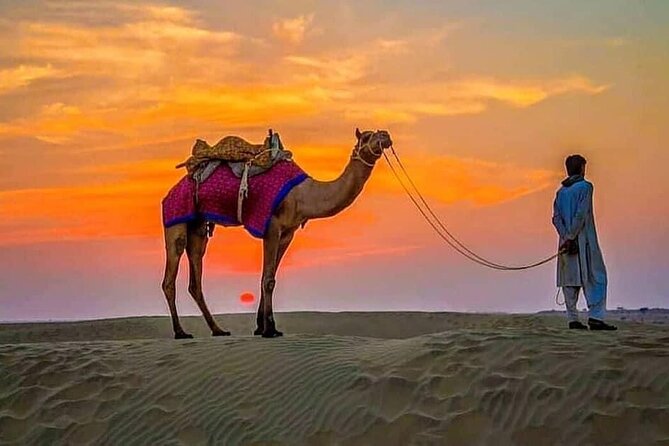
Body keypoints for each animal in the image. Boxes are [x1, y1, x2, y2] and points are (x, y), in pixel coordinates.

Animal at [161, 128, 393, 338]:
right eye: (367, 136)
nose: (386, 135)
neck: (303, 195)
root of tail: (170, 191)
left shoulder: (288, 232)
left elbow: (269, 275)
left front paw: (260, 326)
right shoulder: (271, 225)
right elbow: (269, 279)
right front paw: (269, 329)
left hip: (198, 227)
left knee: (195, 277)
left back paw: (218, 330)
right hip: (176, 216)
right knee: (170, 274)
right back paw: (180, 332)